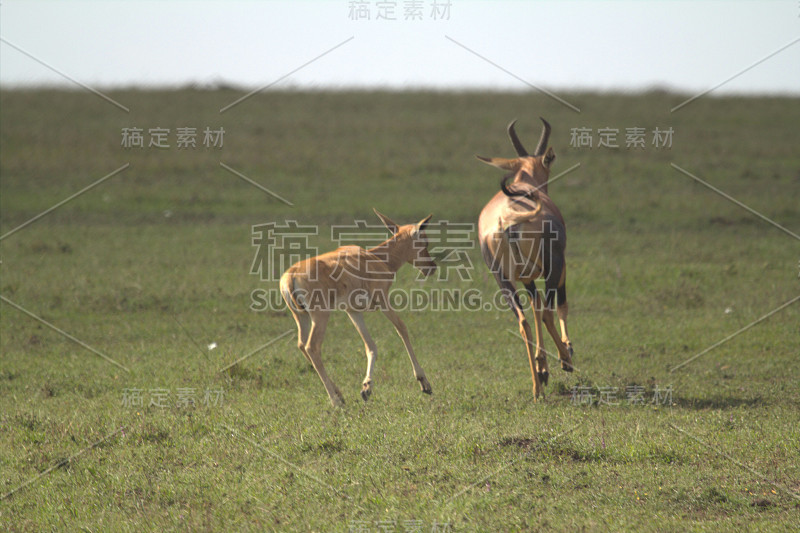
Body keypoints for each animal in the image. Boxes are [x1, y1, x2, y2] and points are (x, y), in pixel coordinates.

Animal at [278, 210, 434, 406]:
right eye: (425, 240)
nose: (432, 267)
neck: (375, 258)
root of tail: (290, 276)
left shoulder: (353, 311)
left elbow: (370, 345)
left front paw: (366, 388)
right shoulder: (383, 300)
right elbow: (402, 328)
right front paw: (424, 383)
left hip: (302, 316)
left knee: (301, 344)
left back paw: (340, 394)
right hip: (320, 315)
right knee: (312, 347)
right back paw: (335, 401)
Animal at [476, 116, 576, 400]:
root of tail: (508, 219)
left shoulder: (527, 279)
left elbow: (535, 305)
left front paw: (542, 368)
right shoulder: (559, 266)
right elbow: (557, 306)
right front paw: (564, 353)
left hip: (503, 279)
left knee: (523, 320)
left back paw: (536, 387)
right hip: (551, 268)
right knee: (548, 311)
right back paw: (564, 361)